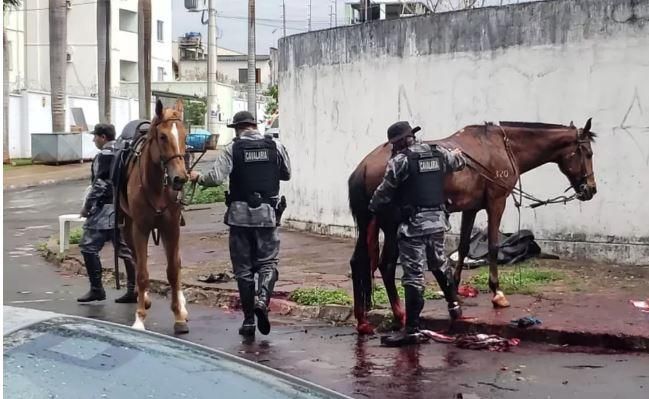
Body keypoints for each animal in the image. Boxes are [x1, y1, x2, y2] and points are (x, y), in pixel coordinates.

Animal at [119, 99, 190, 334]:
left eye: (186, 136)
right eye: (163, 137)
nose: (180, 178)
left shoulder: (172, 228)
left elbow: (173, 271)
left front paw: (178, 316)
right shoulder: (140, 228)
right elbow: (142, 273)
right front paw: (140, 318)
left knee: (176, 262)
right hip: (128, 227)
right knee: (135, 259)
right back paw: (145, 298)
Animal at [346, 119, 596, 334]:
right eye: (588, 153)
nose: (591, 189)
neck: (503, 147)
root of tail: (365, 166)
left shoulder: (471, 208)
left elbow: (464, 247)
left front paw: (454, 290)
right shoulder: (497, 202)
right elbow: (493, 245)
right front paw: (497, 293)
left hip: (369, 222)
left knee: (359, 262)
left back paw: (363, 320)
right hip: (391, 226)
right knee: (386, 265)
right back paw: (400, 315)